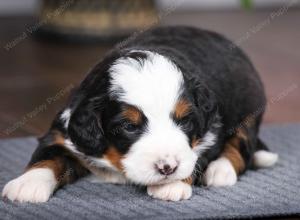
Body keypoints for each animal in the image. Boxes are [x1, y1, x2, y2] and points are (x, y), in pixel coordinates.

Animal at [2, 24, 278, 202]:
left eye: (185, 122)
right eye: (129, 127)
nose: (167, 168)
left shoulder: (210, 131)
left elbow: (196, 157)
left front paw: (173, 184)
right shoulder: (64, 132)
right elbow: (47, 156)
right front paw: (27, 184)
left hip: (249, 108)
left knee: (242, 146)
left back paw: (221, 170)